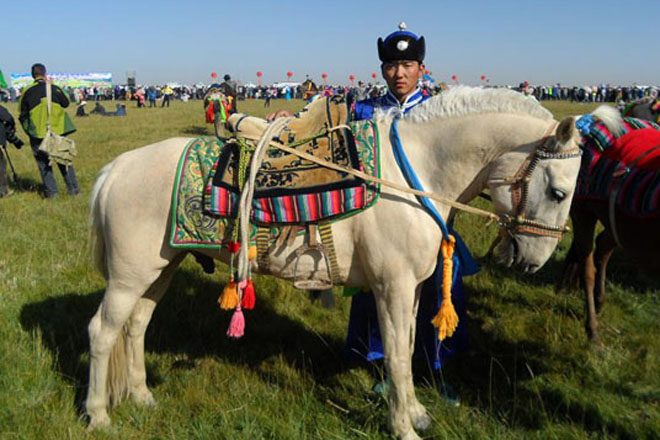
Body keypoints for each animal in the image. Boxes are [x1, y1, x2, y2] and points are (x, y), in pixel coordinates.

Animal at [85, 87, 580, 438]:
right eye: (558, 192)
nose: (532, 262)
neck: (416, 173)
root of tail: (116, 169)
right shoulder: (392, 287)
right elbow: (396, 356)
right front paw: (403, 428)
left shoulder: (412, 288)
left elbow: (407, 349)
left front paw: (416, 412)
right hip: (129, 277)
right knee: (103, 332)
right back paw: (99, 415)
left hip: (160, 268)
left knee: (137, 326)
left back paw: (142, 396)